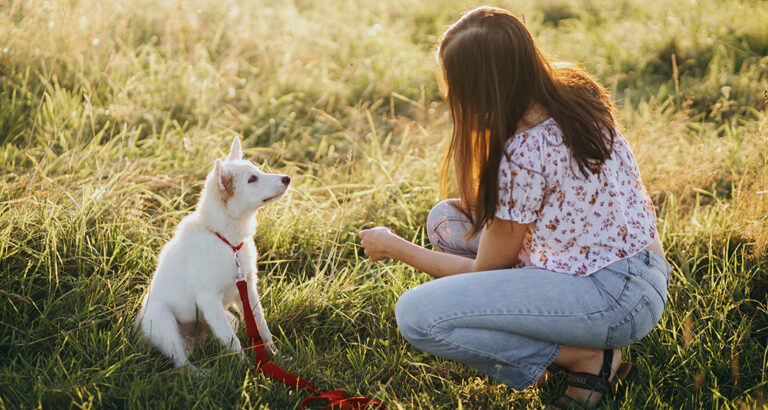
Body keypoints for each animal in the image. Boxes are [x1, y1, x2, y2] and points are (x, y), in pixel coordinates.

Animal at [134, 137, 284, 368]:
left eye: (257, 171)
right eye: (252, 179)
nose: (287, 178)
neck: (227, 242)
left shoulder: (248, 290)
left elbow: (261, 327)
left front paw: (277, 357)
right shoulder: (209, 299)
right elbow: (233, 341)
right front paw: (248, 370)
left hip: (229, 319)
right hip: (162, 318)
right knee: (181, 362)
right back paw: (201, 373)